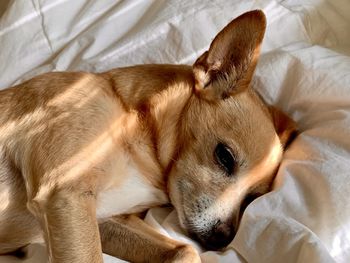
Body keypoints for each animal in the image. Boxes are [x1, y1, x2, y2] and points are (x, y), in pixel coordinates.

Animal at [0, 9, 296, 262]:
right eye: (224, 156)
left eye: (252, 197)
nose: (222, 239)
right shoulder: (65, 194)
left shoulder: (103, 218)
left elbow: (185, 251)